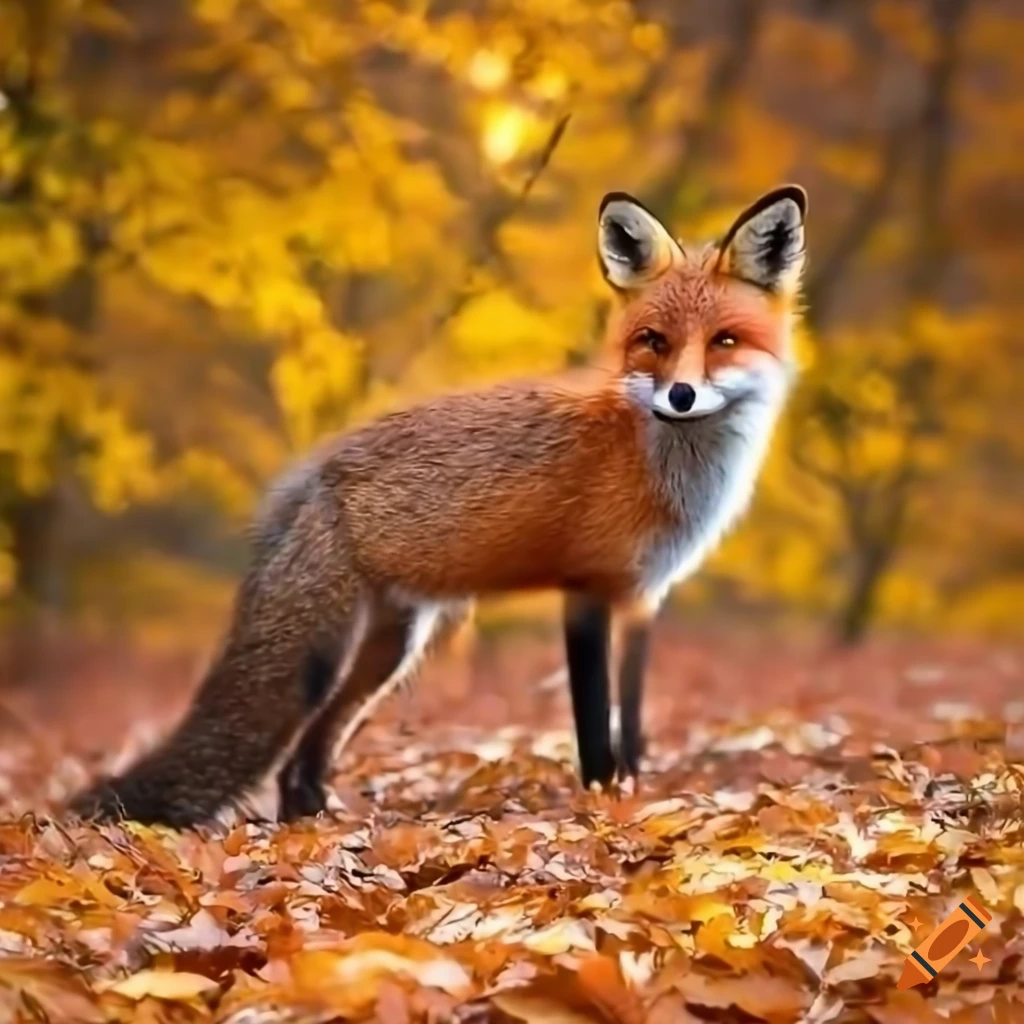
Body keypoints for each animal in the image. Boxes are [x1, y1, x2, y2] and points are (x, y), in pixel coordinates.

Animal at [71, 184, 807, 828]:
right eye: (654, 341)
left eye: (724, 341)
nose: (680, 396)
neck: (657, 464)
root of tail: (307, 474)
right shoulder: (586, 591)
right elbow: (597, 731)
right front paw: (602, 807)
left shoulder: (643, 599)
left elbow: (632, 727)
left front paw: (634, 800)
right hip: (327, 654)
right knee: (293, 741)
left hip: (391, 647)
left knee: (304, 755)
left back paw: (315, 822)